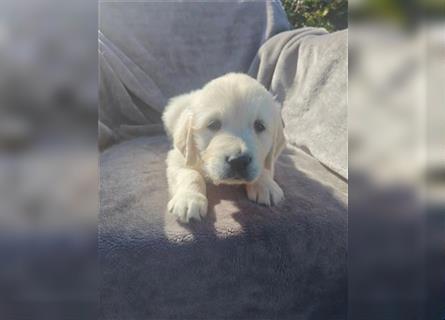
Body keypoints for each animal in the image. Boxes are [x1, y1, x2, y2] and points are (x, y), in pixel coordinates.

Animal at [162, 72, 284, 222]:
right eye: (213, 124)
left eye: (259, 126)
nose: (239, 161)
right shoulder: (178, 157)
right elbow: (190, 174)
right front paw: (189, 199)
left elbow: (265, 167)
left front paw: (266, 185)